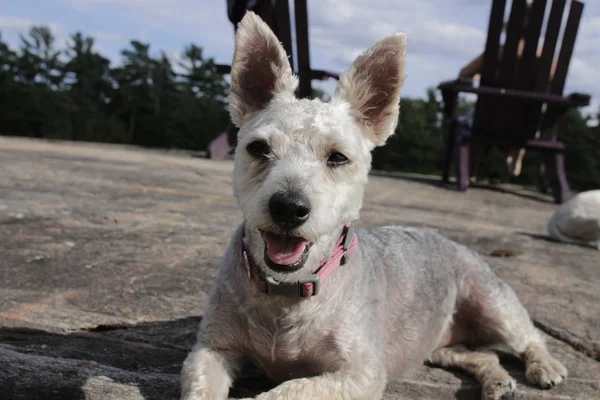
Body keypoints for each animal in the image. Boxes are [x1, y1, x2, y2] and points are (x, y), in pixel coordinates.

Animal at [180, 11, 564, 400]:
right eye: (258, 148)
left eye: (338, 157)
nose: (288, 207)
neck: (288, 291)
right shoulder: (211, 349)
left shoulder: (360, 373)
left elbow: (290, 389)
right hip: (438, 345)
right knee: (482, 355)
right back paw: (498, 382)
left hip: (493, 304)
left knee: (529, 336)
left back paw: (545, 366)